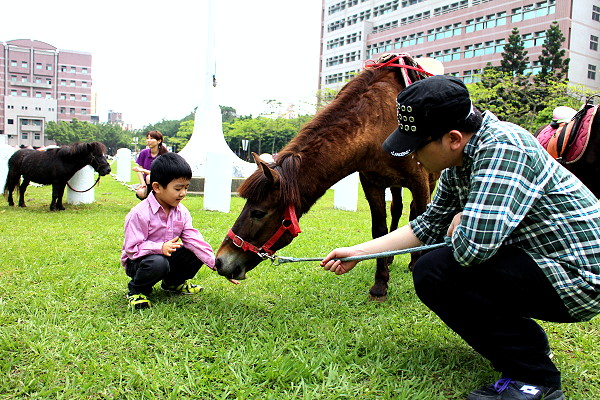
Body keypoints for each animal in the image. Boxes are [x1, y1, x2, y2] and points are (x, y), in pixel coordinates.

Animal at [214, 54, 436, 300]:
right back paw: (389, 258)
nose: (220, 261)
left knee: (414, 211)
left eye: (258, 212)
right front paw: (380, 284)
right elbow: (379, 230)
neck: (379, 122)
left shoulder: (419, 180)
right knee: (397, 209)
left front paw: (410, 268)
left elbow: (421, 219)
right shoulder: (372, 183)